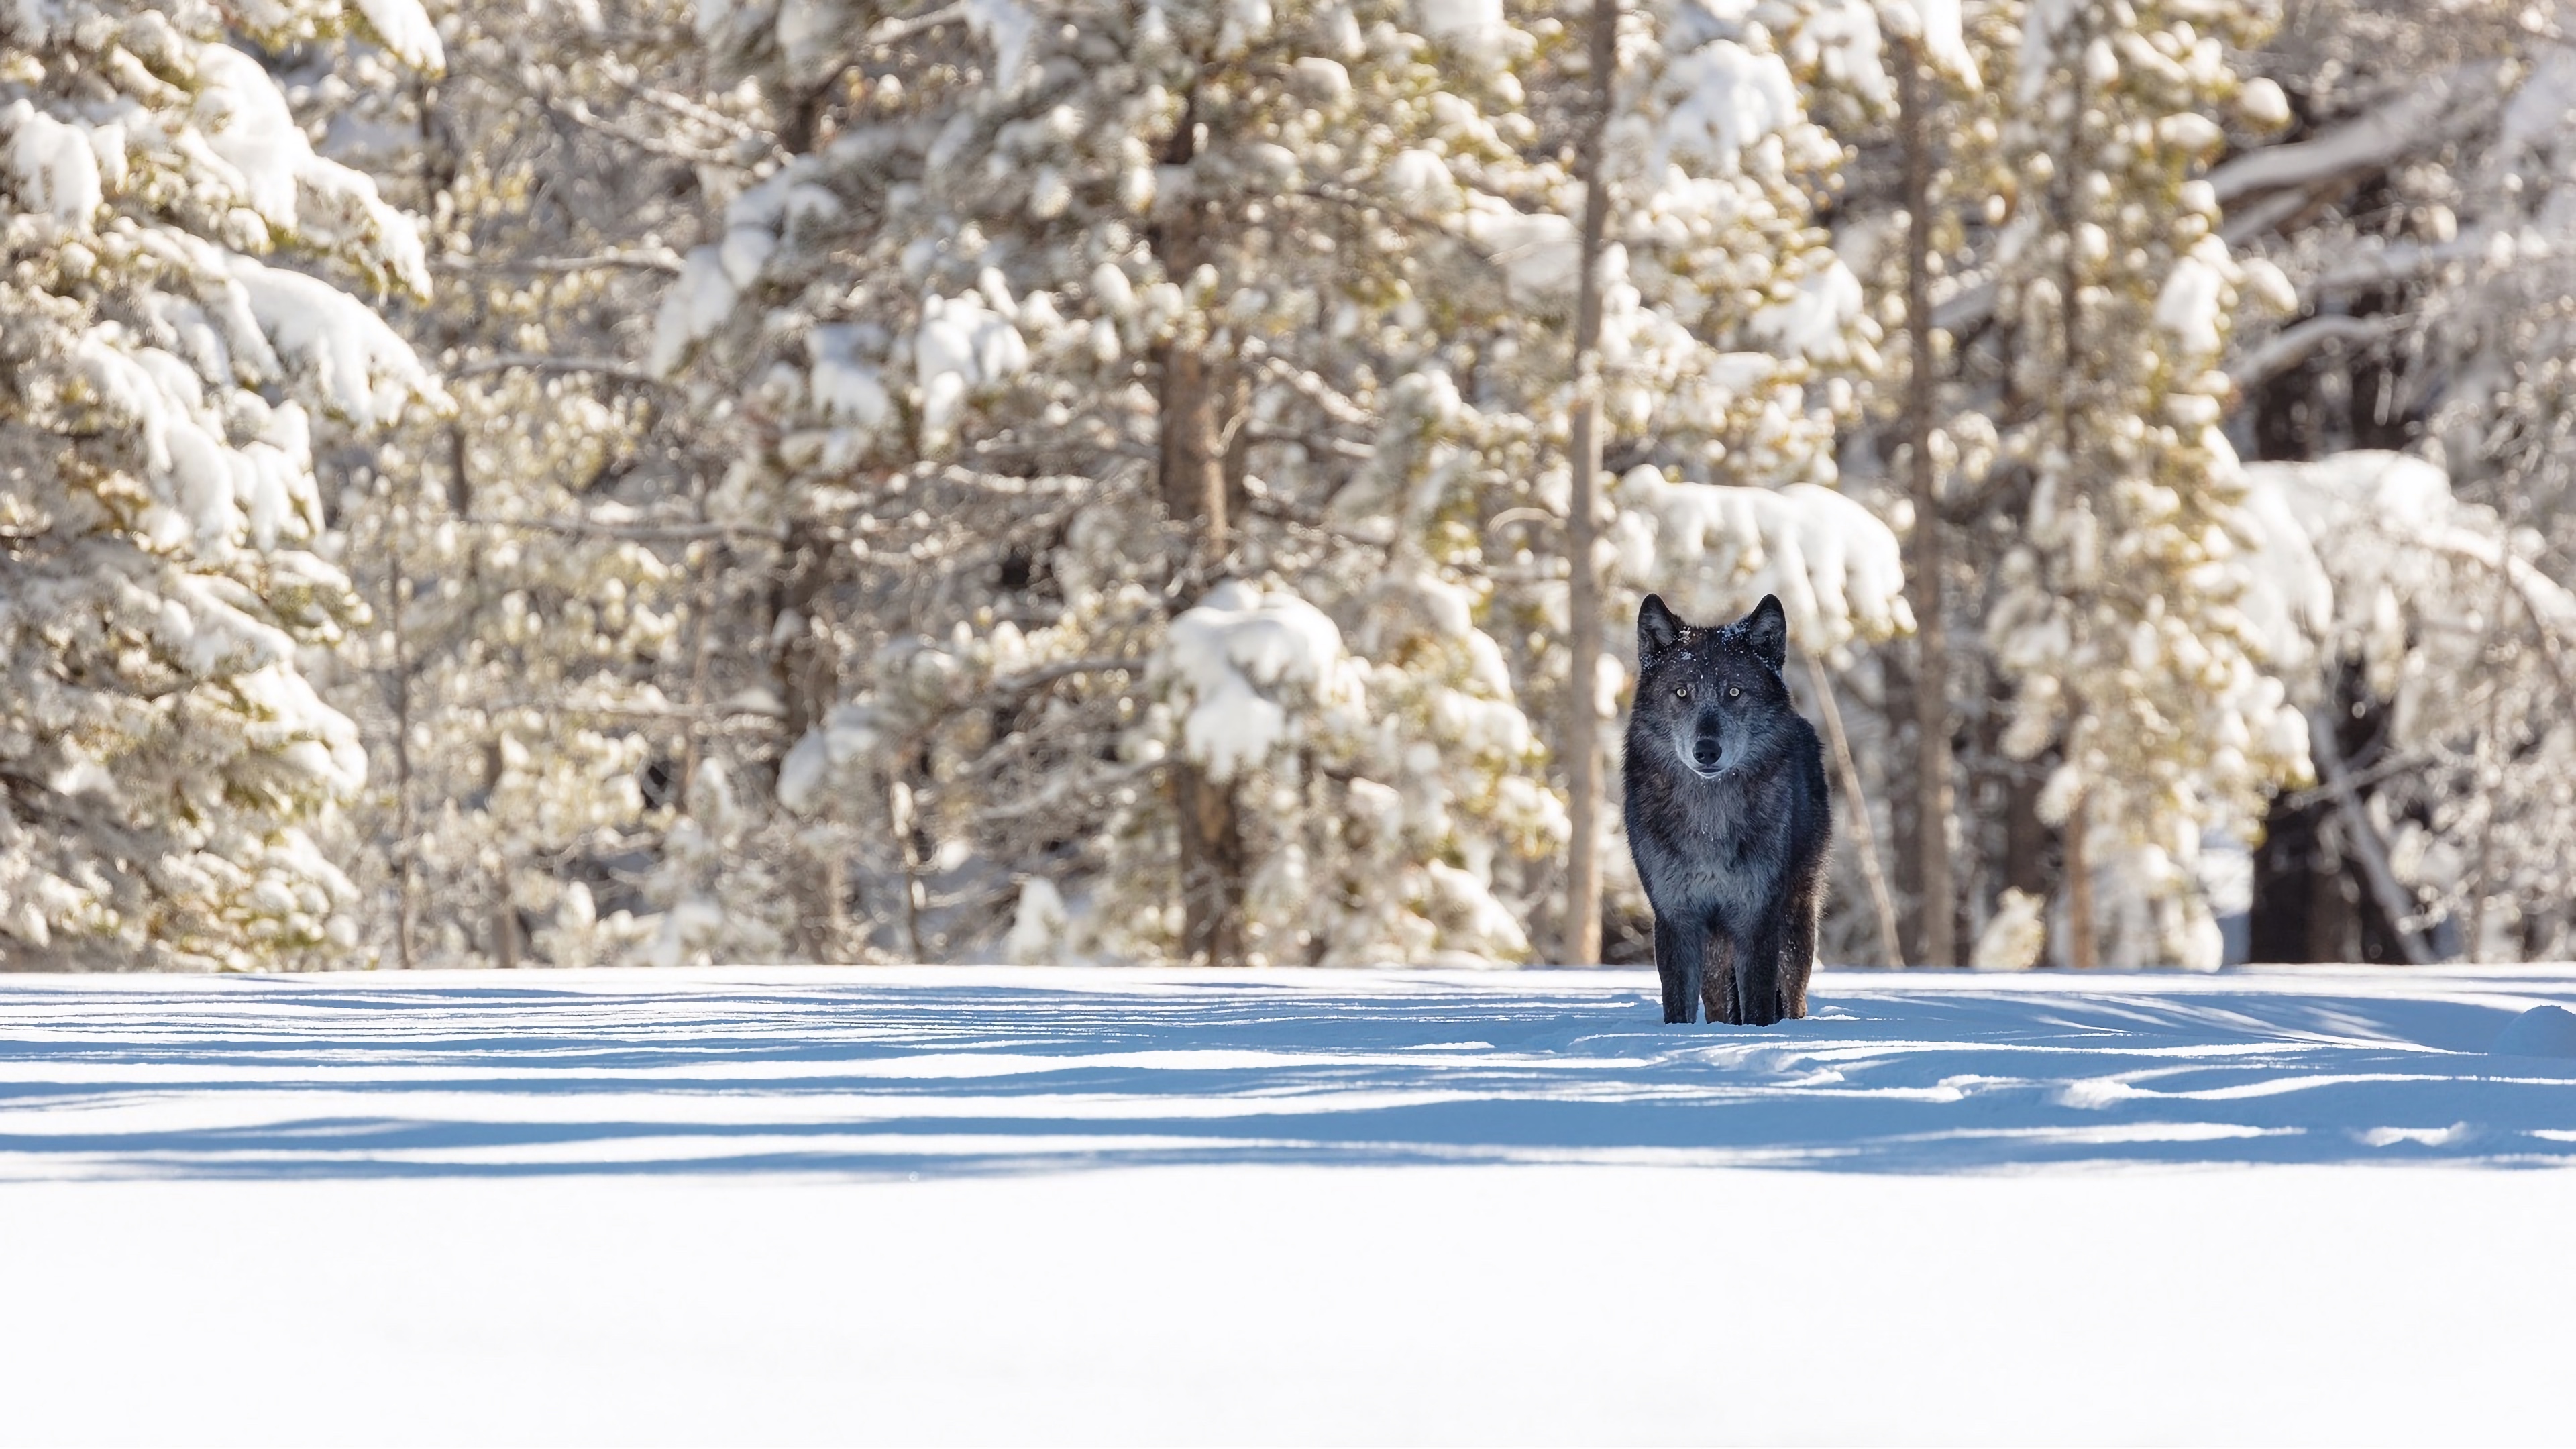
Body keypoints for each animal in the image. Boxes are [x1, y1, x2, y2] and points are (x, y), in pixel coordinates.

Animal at [1627, 592, 1834, 1020]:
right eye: (1682, 692)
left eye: (1735, 692)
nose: (1706, 750)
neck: (1710, 821)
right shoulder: (1677, 919)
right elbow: (1678, 1009)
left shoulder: (1757, 919)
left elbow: (1758, 1008)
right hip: (1716, 949)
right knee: (1719, 1005)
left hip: (1795, 922)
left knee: (1793, 997)